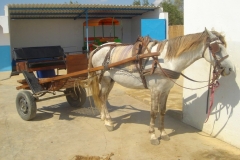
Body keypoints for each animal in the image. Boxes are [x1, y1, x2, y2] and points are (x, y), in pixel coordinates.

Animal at [86, 28, 232, 145]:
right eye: (217, 48)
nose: (230, 69)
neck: (165, 61)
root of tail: (98, 48)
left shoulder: (165, 90)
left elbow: (162, 111)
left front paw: (163, 133)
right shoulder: (155, 90)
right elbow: (153, 112)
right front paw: (153, 136)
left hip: (110, 80)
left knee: (103, 97)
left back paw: (104, 117)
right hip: (105, 79)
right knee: (102, 98)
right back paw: (108, 123)